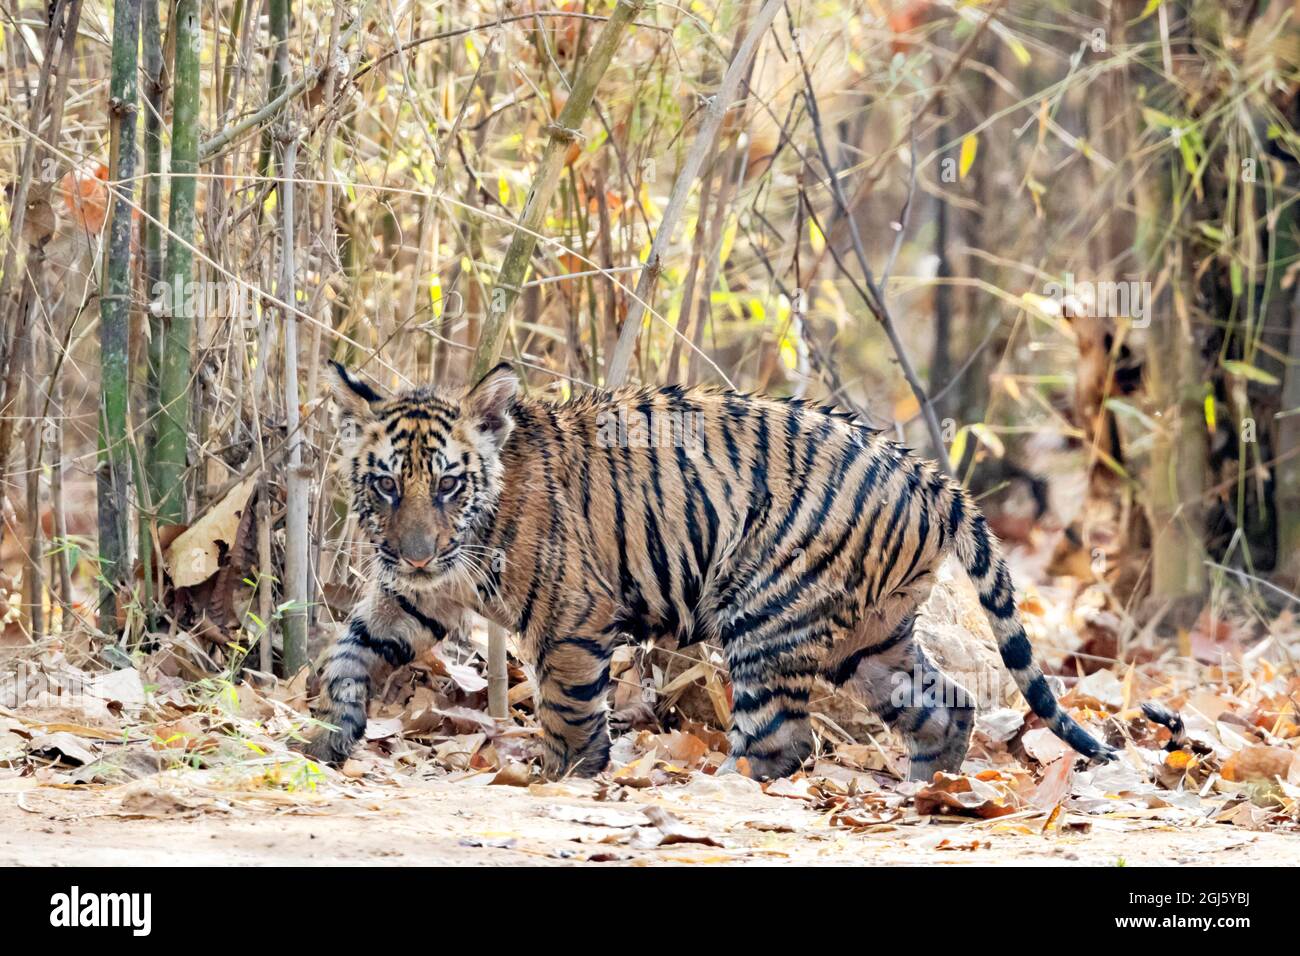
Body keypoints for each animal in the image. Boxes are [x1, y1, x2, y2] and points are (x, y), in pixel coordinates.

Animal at [303, 360, 1117, 781]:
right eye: (385, 484)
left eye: (447, 484)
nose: (412, 552)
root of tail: (926, 474)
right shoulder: (422, 594)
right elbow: (350, 649)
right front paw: (331, 735)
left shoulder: (569, 619)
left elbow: (568, 707)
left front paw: (562, 774)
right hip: (871, 638)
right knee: (945, 704)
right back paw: (931, 790)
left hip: (769, 613)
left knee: (781, 741)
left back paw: (718, 792)